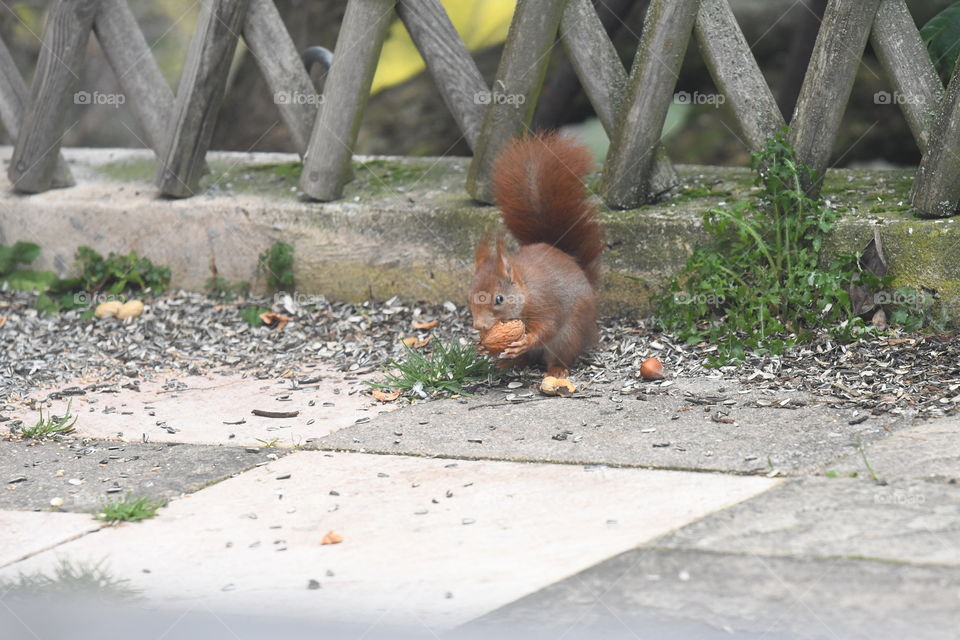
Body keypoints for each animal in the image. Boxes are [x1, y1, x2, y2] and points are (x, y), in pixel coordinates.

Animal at [470, 131, 603, 379]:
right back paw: (509, 363)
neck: (526, 292)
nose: (479, 326)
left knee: (559, 354)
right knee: (526, 359)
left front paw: (526, 340)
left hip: (570, 335)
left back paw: (556, 370)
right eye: (470, 296)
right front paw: (482, 346)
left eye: (499, 299)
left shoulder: (546, 304)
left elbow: (547, 328)